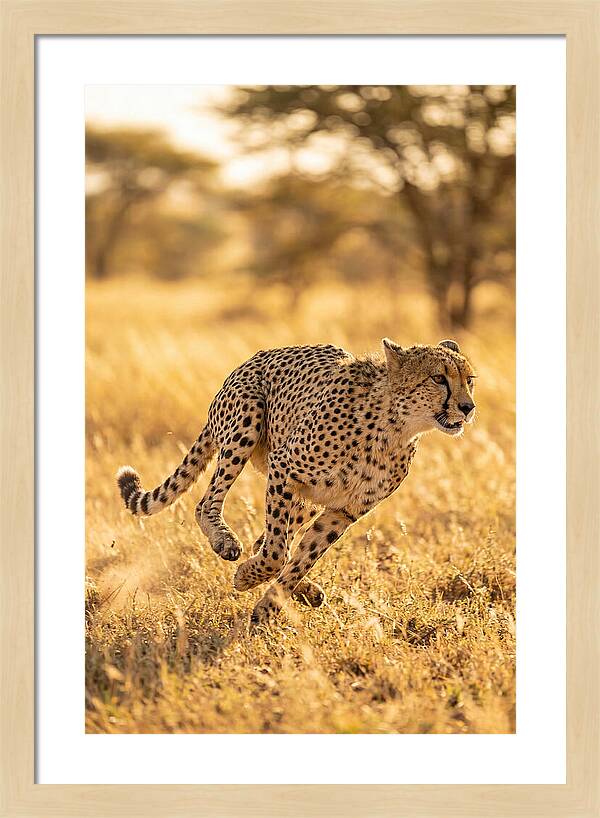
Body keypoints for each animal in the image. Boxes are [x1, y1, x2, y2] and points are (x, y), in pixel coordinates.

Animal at [117, 338, 476, 625]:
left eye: (469, 380)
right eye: (438, 378)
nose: (468, 407)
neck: (395, 427)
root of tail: (252, 359)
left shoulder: (343, 511)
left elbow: (302, 557)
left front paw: (269, 605)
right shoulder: (284, 468)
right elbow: (277, 553)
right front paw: (247, 578)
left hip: (307, 498)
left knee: (266, 540)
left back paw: (306, 591)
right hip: (247, 423)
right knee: (208, 504)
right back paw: (225, 542)